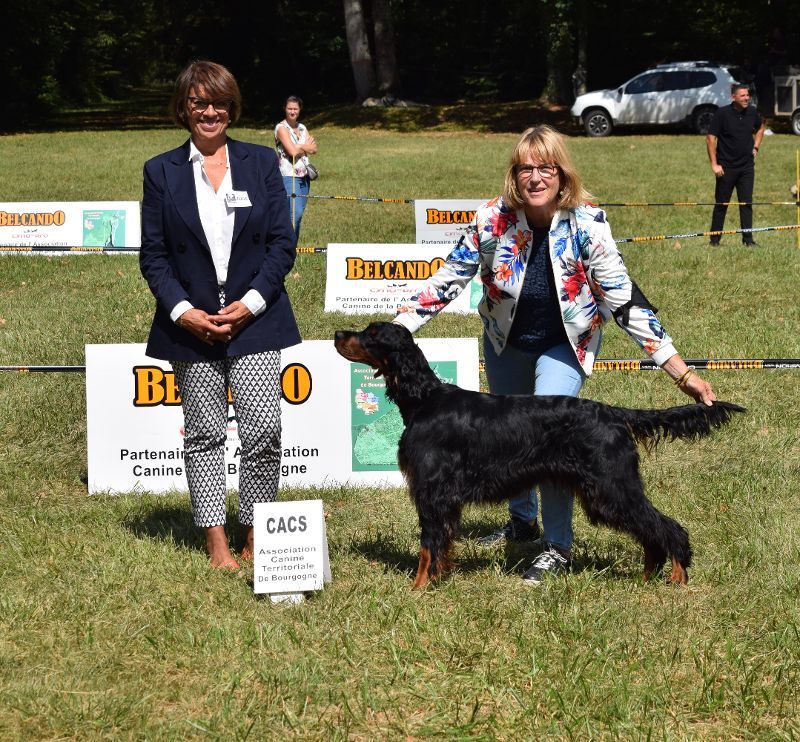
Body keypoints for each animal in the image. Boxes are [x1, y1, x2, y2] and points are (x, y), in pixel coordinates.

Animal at [334, 321, 745, 588]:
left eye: (373, 335)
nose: (338, 334)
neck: (424, 399)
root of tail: (612, 413)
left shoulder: (432, 491)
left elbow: (427, 546)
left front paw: (418, 589)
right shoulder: (442, 498)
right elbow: (441, 544)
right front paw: (437, 579)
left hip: (611, 487)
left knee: (666, 527)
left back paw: (677, 575)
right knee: (651, 529)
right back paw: (648, 575)